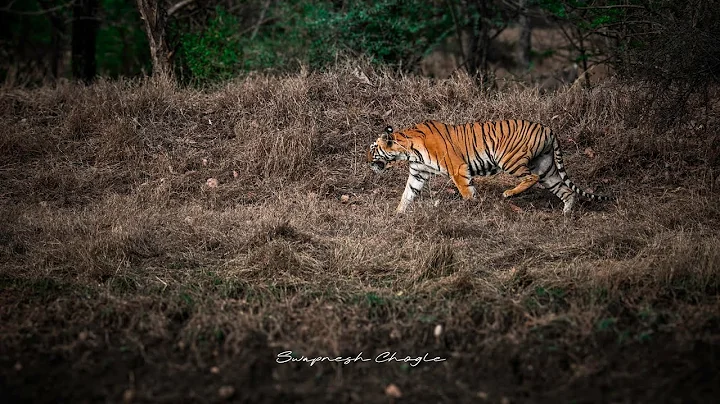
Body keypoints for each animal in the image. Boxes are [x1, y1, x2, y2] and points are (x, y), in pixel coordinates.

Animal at [367, 119, 613, 214]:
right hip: (548, 170)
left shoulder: (458, 168)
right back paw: (566, 213)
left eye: (372, 150)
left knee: (530, 178)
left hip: (509, 159)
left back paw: (510, 194)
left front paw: (473, 206)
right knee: (566, 190)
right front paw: (398, 214)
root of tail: (548, 128)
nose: (368, 163)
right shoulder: (418, 173)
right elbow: (407, 194)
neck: (408, 150)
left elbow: (466, 190)